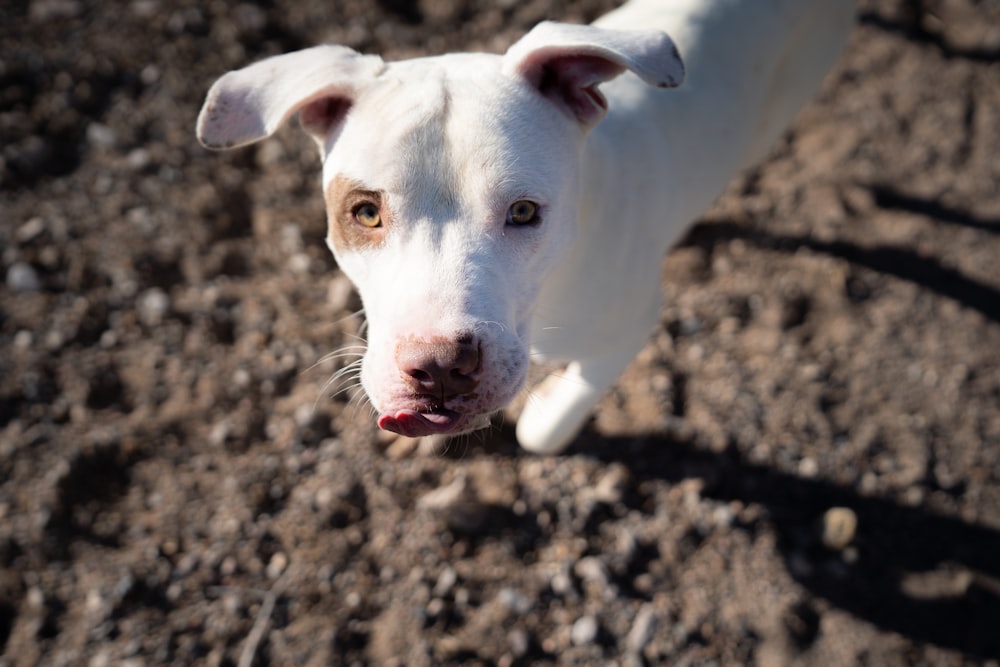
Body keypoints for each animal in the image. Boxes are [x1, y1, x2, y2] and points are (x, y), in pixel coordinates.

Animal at [197, 0, 852, 454]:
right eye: (364, 213)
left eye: (523, 213)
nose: (440, 366)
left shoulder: (631, 327)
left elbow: (544, 428)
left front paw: (541, 413)